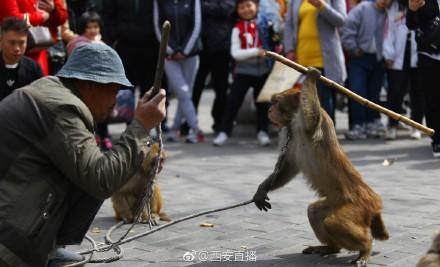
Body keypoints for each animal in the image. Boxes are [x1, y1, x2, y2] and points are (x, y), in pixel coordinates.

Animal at [253, 67, 390, 266]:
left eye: (276, 102)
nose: (270, 109)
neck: (294, 120)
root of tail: (373, 198)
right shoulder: (288, 133)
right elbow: (287, 168)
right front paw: (261, 191)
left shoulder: (312, 122)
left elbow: (312, 118)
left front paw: (312, 77)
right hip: (335, 201)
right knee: (315, 212)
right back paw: (331, 247)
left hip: (358, 207)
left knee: (334, 222)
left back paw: (366, 248)